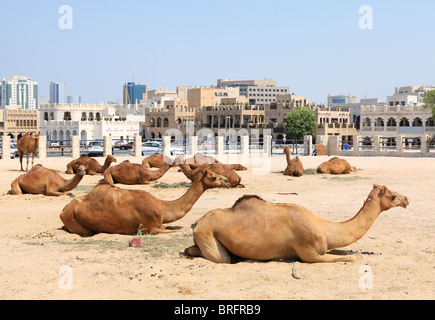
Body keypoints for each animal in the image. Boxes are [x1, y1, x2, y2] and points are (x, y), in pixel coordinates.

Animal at [60, 166, 235, 236]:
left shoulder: (160, 223)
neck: (162, 206)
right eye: (213, 176)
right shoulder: (149, 228)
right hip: (77, 224)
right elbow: (176, 230)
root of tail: (63, 210)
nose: (227, 181)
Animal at [186, 184, 410, 264]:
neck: (325, 228)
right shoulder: (309, 253)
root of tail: (197, 222)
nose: (406, 199)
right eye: (392, 196)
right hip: (208, 233)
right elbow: (349, 258)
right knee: (220, 258)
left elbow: (345, 252)